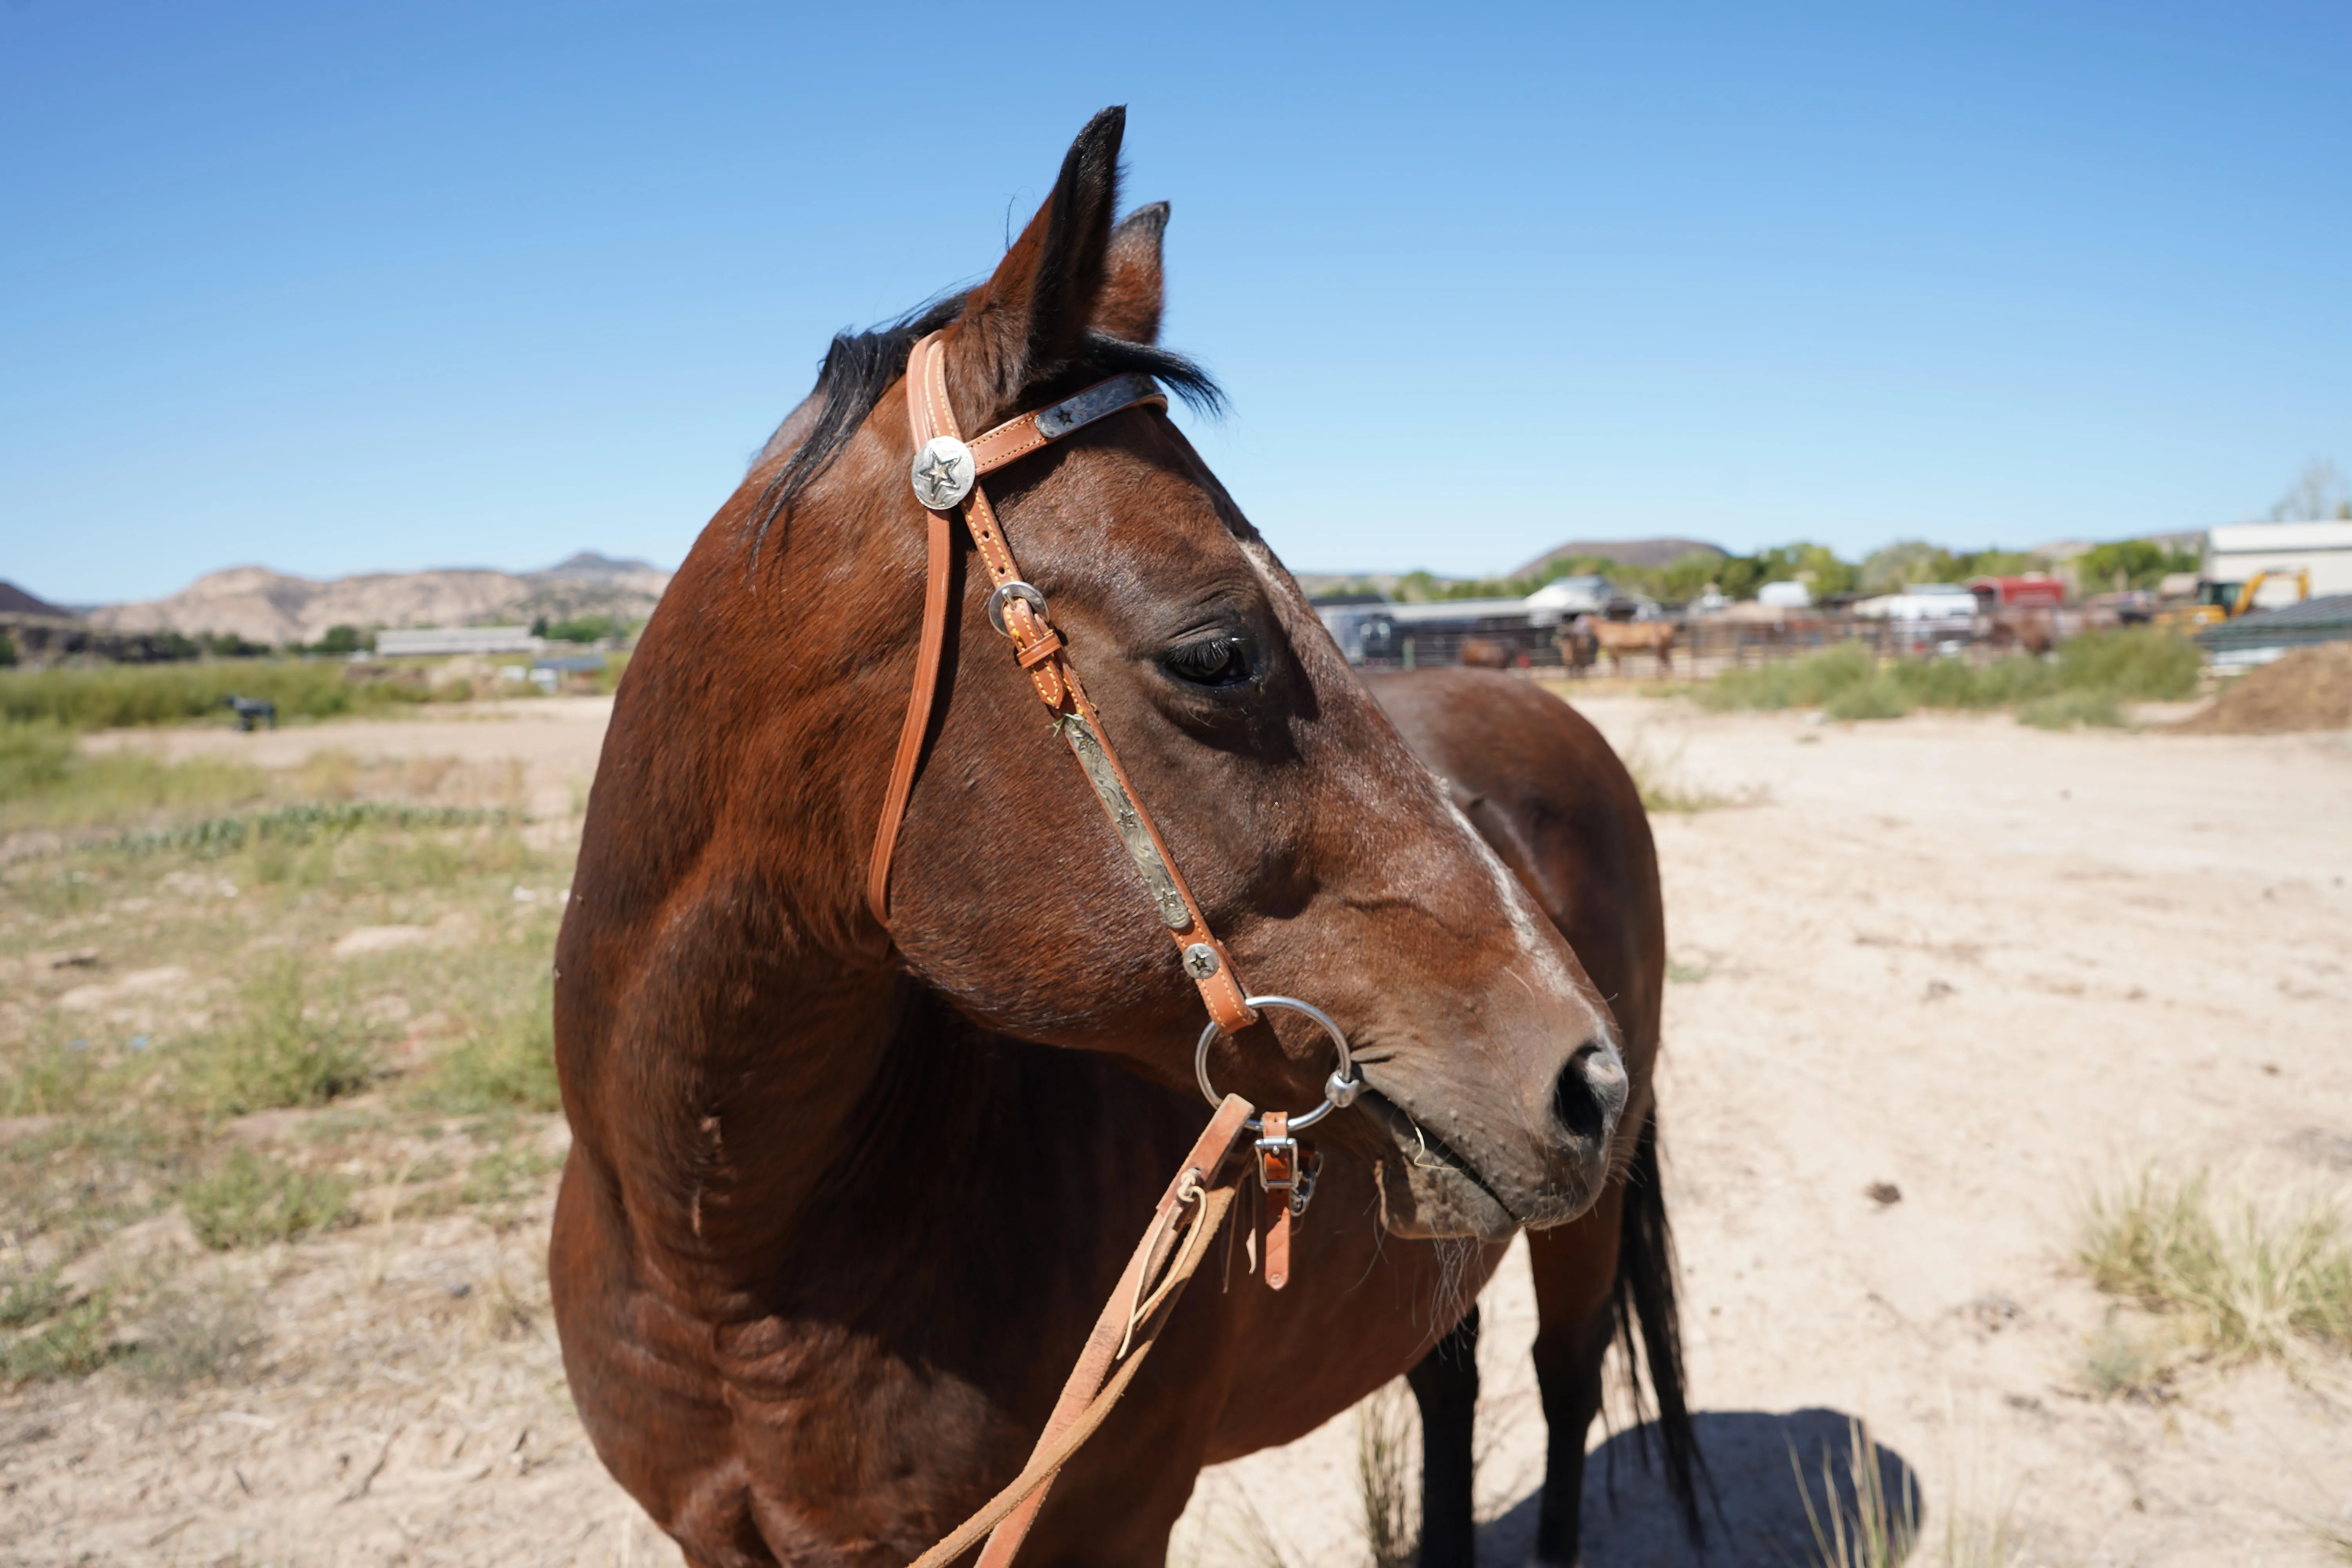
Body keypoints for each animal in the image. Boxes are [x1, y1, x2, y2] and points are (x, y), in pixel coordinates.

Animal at [549, 108, 1697, 1568]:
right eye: (1216, 651)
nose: (1583, 1074)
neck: (729, 1258)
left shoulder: (1109, 1519)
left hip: (1580, 1232)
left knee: (1562, 1383)